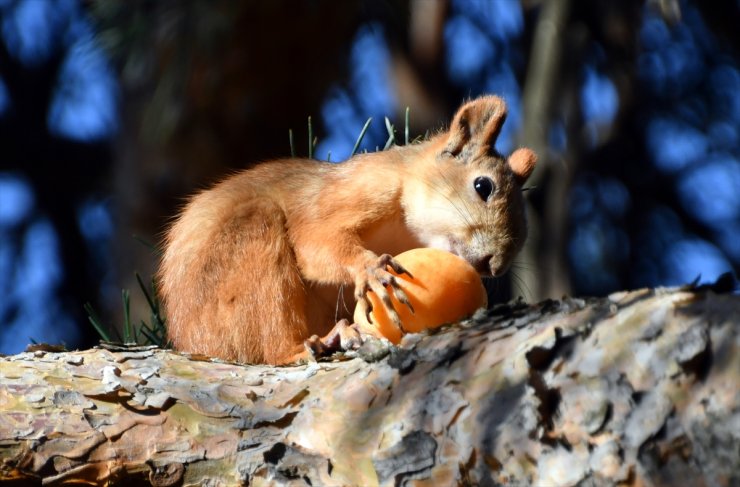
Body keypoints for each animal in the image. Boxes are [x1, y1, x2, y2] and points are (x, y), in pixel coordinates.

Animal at [159, 95, 536, 364]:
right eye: (483, 186)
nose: (494, 266)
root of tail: (189, 337)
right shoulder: (356, 190)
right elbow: (315, 239)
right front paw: (371, 270)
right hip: (247, 247)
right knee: (269, 348)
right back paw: (305, 346)